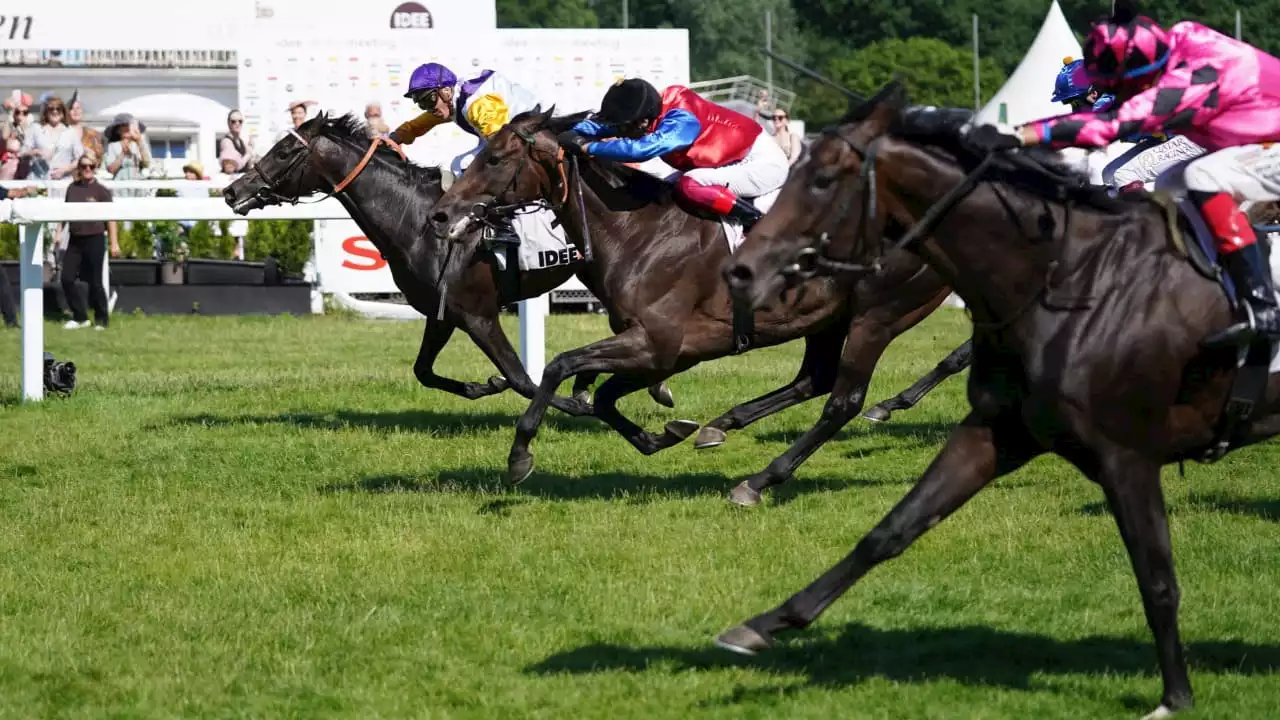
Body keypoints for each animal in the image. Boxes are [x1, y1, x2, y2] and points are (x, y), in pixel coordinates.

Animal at [222, 112, 680, 415]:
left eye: (284, 151)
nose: (232, 191)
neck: (416, 219)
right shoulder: (442, 312)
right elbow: (424, 370)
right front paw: (483, 385)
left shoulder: (478, 314)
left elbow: (522, 379)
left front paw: (574, 402)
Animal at [427, 106, 967, 499]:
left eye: (495, 158)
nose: (440, 214)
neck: (637, 231)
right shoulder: (666, 350)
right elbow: (601, 395)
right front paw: (663, 433)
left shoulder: (661, 341)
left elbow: (561, 366)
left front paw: (519, 455)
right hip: (828, 318)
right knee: (813, 380)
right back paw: (722, 426)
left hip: (878, 316)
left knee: (844, 401)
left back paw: (763, 478)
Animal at [716, 78, 1280, 712]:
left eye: (822, 179)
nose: (740, 271)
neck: (1072, 278)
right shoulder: (1000, 429)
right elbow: (892, 528)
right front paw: (768, 622)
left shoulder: (1127, 455)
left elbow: (1156, 577)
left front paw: (1175, 696)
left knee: (841, 394)